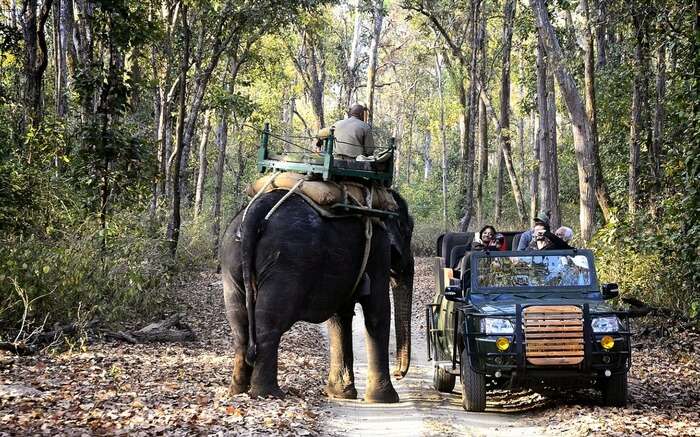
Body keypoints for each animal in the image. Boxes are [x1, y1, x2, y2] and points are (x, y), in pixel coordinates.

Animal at [221, 187, 412, 402]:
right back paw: (268, 394)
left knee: (240, 325)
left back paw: (238, 390)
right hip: (286, 264)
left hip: (231, 261)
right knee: (269, 324)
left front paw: (340, 394)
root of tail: (256, 210)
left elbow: (340, 316)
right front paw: (386, 399)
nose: (399, 374)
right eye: (408, 231)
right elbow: (378, 310)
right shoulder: (379, 248)